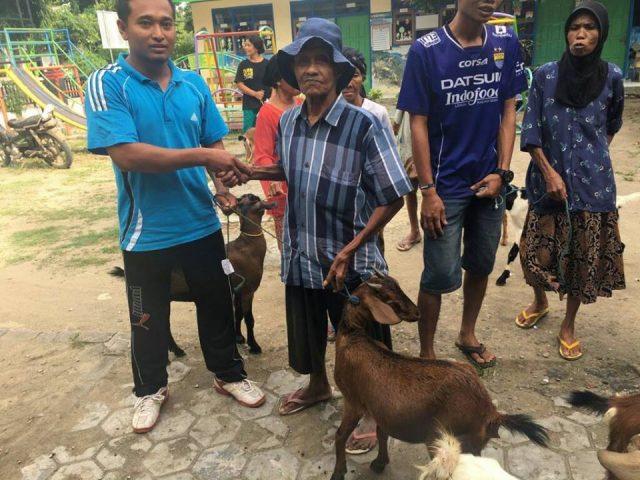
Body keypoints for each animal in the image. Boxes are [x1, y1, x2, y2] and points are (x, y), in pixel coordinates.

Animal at [332, 274, 548, 480]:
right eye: (390, 299)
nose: (417, 312)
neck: (352, 336)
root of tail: (489, 411)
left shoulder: (353, 401)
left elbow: (340, 435)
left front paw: (338, 473)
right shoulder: (380, 410)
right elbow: (381, 433)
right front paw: (379, 463)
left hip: (446, 440)